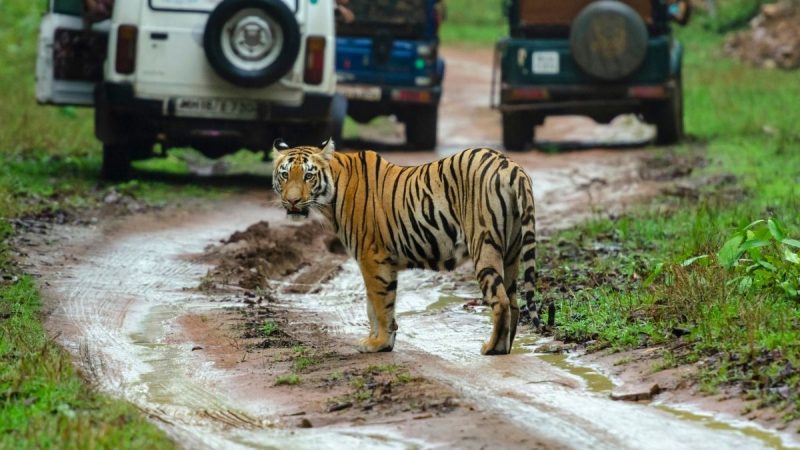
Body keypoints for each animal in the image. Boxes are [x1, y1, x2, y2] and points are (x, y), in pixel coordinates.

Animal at [272, 139, 540, 354]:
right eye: (285, 175)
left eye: (308, 176)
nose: (292, 201)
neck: (332, 195)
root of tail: (511, 166)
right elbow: (374, 305)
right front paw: (380, 340)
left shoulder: (372, 257)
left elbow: (380, 304)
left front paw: (378, 343)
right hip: (511, 252)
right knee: (514, 302)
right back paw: (506, 346)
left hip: (484, 245)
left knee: (501, 301)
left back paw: (492, 348)